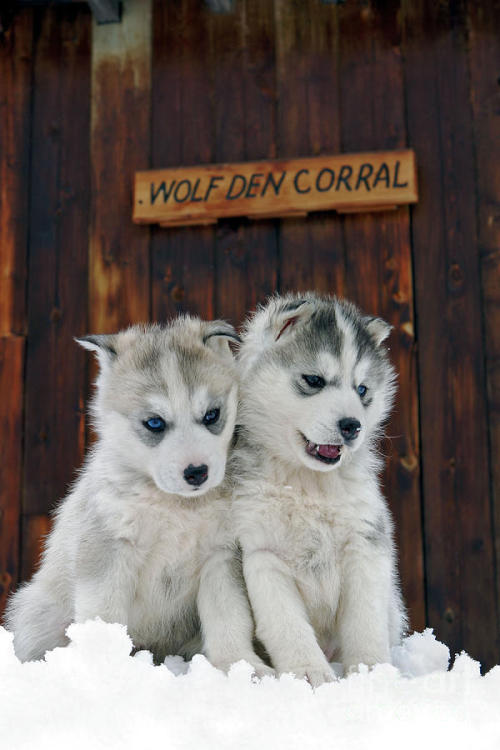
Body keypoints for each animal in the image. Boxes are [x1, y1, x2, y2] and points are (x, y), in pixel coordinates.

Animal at [4, 318, 270, 676]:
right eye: (154, 422)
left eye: (212, 415)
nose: (196, 472)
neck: (177, 506)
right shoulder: (110, 547)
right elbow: (103, 617)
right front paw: (106, 664)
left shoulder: (221, 554)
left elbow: (229, 616)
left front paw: (240, 665)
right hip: (41, 611)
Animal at [232, 292, 408, 688]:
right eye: (314, 380)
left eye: (362, 390)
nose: (352, 426)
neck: (308, 484)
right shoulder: (264, 554)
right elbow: (287, 625)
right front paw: (307, 672)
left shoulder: (366, 543)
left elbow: (365, 622)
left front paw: (371, 673)